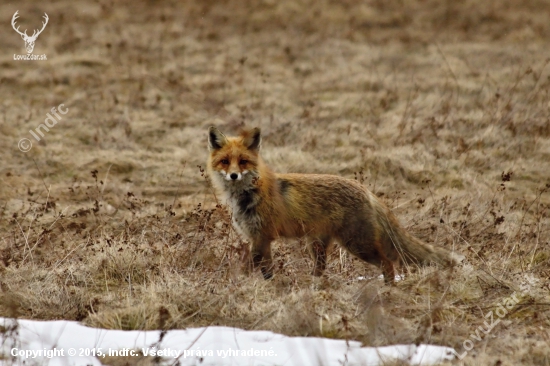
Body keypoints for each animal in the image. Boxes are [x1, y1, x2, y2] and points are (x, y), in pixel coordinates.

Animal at [209, 126, 464, 284]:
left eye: (243, 162)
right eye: (225, 161)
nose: (233, 175)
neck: (249, 194)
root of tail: (366, 190)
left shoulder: (262, 237)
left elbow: (251, 269)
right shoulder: (259, 238)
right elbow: (264, 270)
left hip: (357, 244)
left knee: (388, 263)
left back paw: (389, 290)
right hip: (319, 244)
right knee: (321, 269)